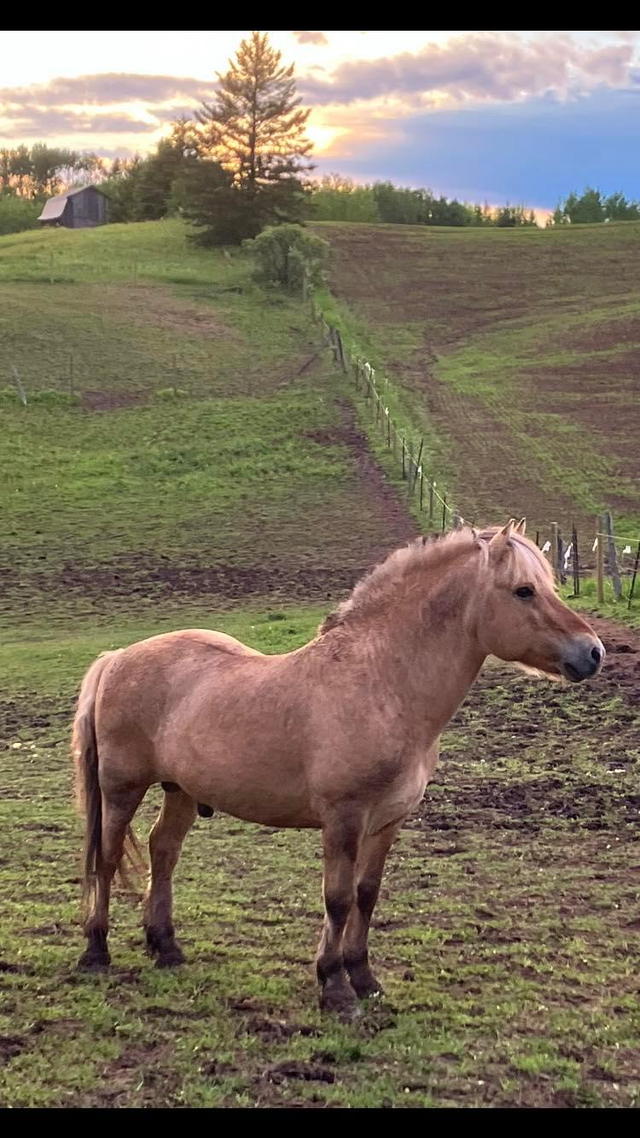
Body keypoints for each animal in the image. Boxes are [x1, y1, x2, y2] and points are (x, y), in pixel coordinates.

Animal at [72, 519, 604, 1016]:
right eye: (523, 590)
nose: (593, 652)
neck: (381, 683)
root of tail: (117, 658)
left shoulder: (388, 822)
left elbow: (366, 895)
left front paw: (364, 977)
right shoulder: (344, 819)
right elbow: (339, 898)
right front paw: (334, 987)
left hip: (180, 789)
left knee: (163, 851)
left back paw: (166, 947)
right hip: (121, 789)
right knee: (107, 856)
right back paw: (96, 952)